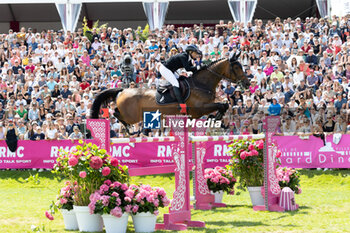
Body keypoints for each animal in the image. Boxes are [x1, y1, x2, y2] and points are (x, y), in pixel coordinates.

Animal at [90, 54, 249, 128]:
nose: (247, 84)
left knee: (116, 112)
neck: (201, 84)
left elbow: (225, 105)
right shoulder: (198, 110)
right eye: (237, 67)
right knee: (116, 113)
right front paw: (215, 118)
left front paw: (216, 118)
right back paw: (130, 129)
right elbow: (221, 105)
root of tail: (123, 89)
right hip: (132, 116)